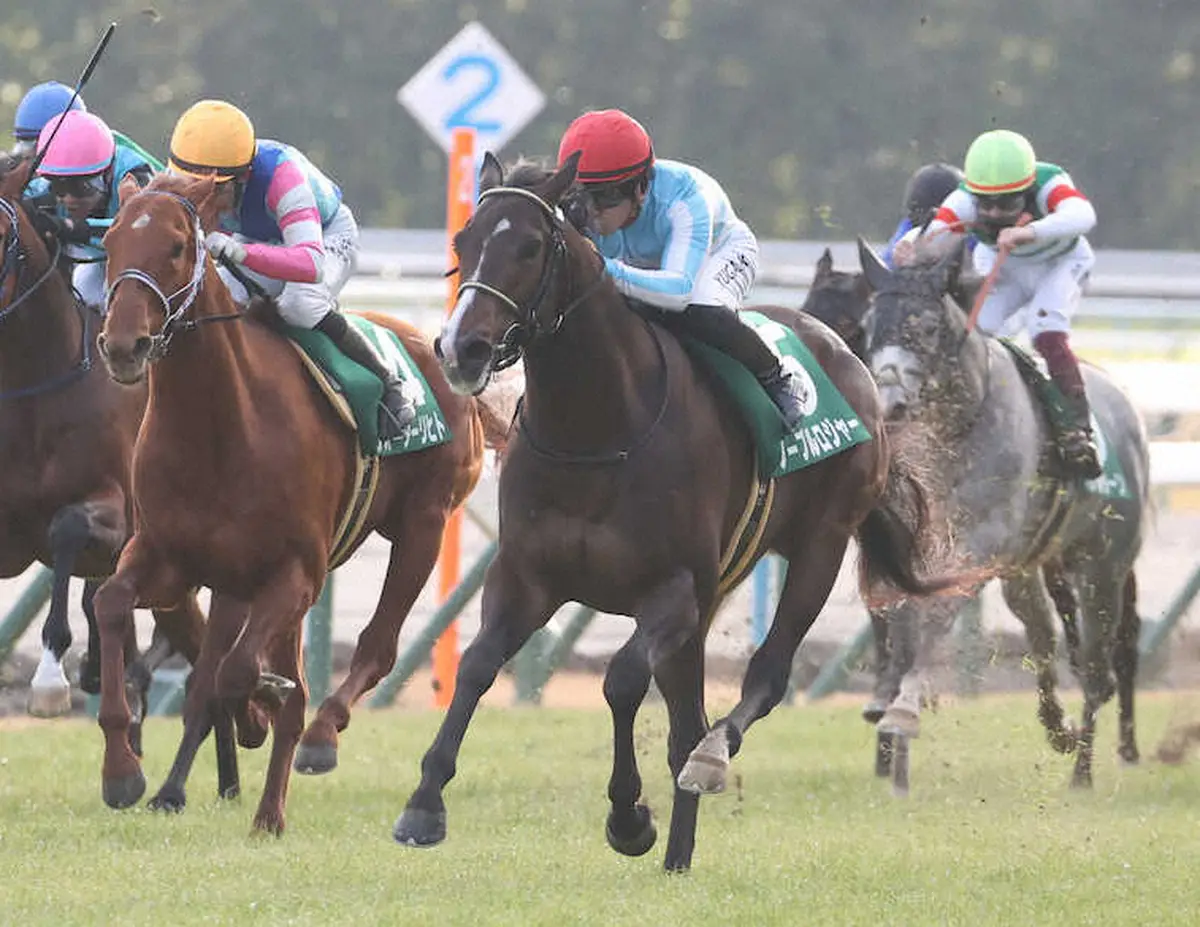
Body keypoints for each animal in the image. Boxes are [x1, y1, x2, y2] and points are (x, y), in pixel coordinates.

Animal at [93, 171, 501, 830]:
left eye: (178, 246)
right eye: (108, 244)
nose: (124, 346)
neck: (219, 425)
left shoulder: (297, 573)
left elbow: (239, 672)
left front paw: (265, 707)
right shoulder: (170, 557)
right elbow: (113, 606)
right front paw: (122, 771)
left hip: (424, 524)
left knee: (375, 648)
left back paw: (309, 750)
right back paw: (260, 799)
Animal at [398, 156, 960, 874]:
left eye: (527, 247)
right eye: (463, 241)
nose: (460, 348)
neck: (596, 429)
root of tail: (851, 359)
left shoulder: (671, 592)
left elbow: (620, 681)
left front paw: (629, 816)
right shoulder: (526, 577)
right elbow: (475, 665)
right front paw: (423, 803)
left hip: (819, 547)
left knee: (761, 679)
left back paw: (710, 762)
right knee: (686, 720)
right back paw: (678, 855)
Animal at [859, 238, 1147, 787]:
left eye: (928, 327)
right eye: (868, 325)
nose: (888, 403)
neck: (958, 431)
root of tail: (1127, 408)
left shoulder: (979, 547)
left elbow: (936, 614)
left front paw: (903, 710)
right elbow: (903, 618)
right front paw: (889, 714)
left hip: (1102, 568)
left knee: (1097, 668)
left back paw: (1082, 769)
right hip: (1025, 570)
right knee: (1043, 635)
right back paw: (1059, 728)